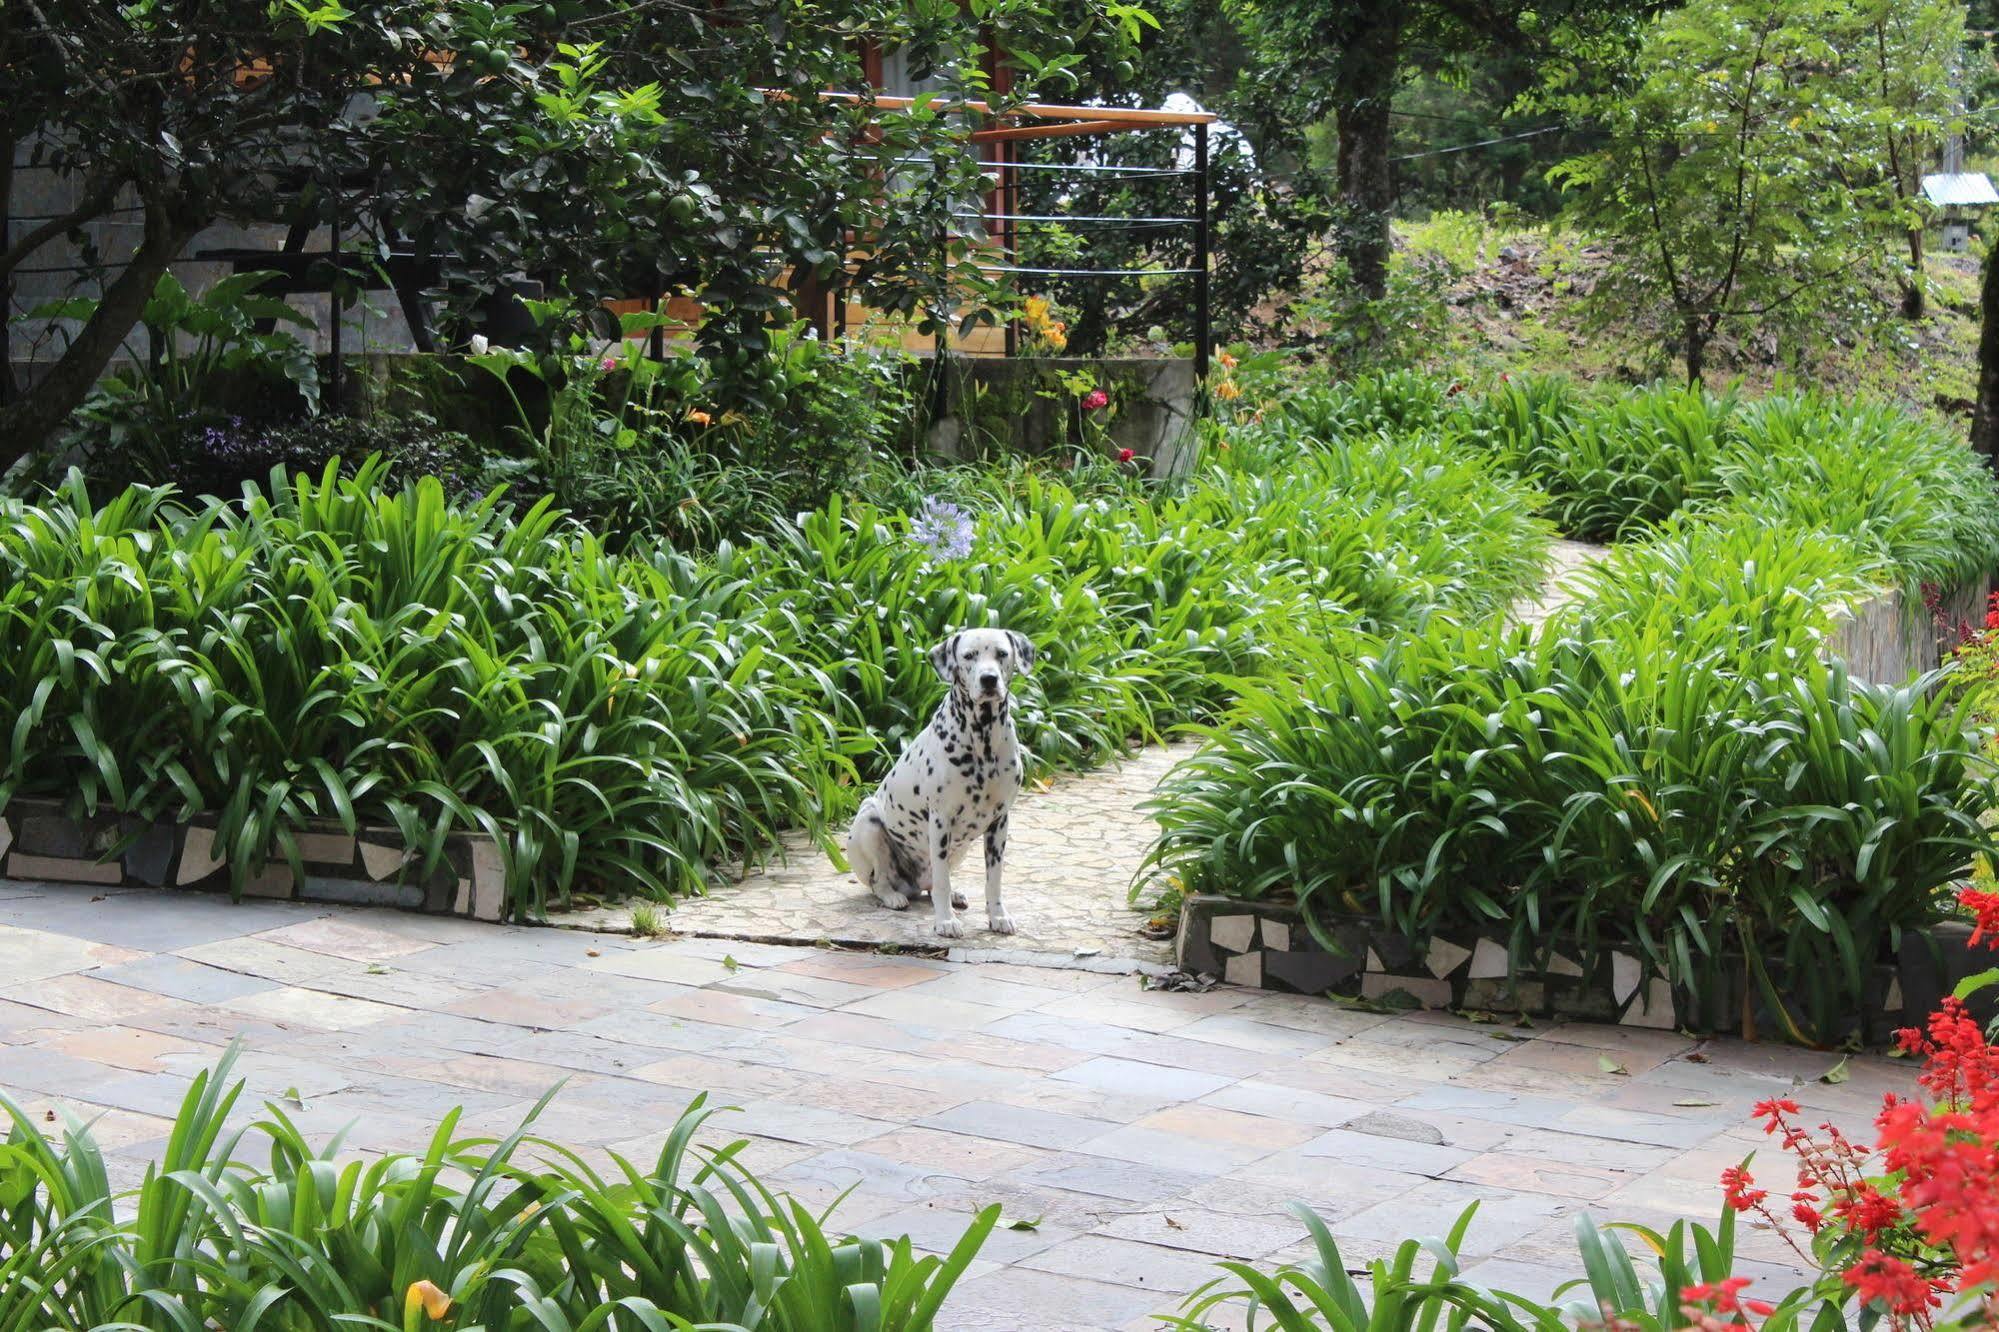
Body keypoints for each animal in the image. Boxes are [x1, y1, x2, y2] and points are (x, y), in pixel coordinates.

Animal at [839, 628, 1031, 940]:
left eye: (1002, 653)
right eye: (969, 655)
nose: (989, 679)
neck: (983, 738)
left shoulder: (999, 823)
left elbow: (994, 879)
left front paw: (998, 916)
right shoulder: (941, 821)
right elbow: (941, 881)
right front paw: (945, 921)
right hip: (869, 821)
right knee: (882, 881)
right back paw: (894, 896)